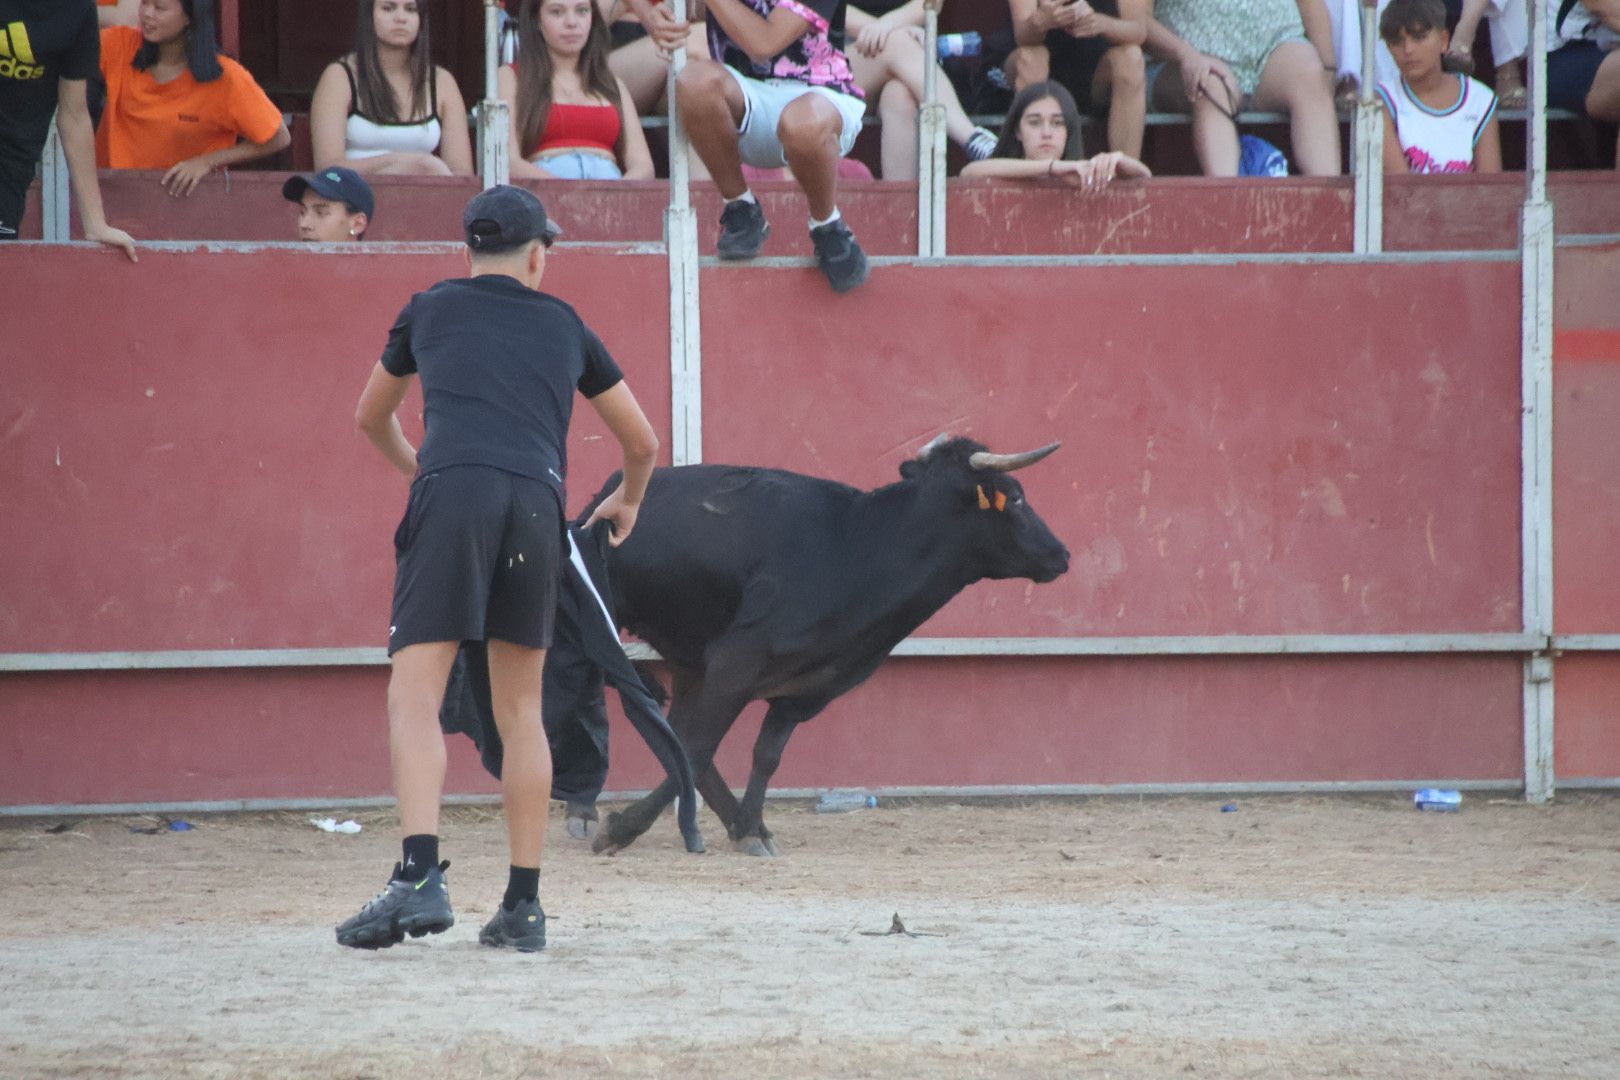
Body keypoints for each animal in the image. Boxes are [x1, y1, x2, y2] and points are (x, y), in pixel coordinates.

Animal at [443, 433, 1069, 854]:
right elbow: (697, 745)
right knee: (643, 713)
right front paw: (626, 827)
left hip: (687, 656)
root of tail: (601, 500)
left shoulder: (802, 687)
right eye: (1014, 497)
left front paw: (751, 826)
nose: (1061, 554)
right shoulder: (736, 662)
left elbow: (765, 755)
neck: (862, 545)